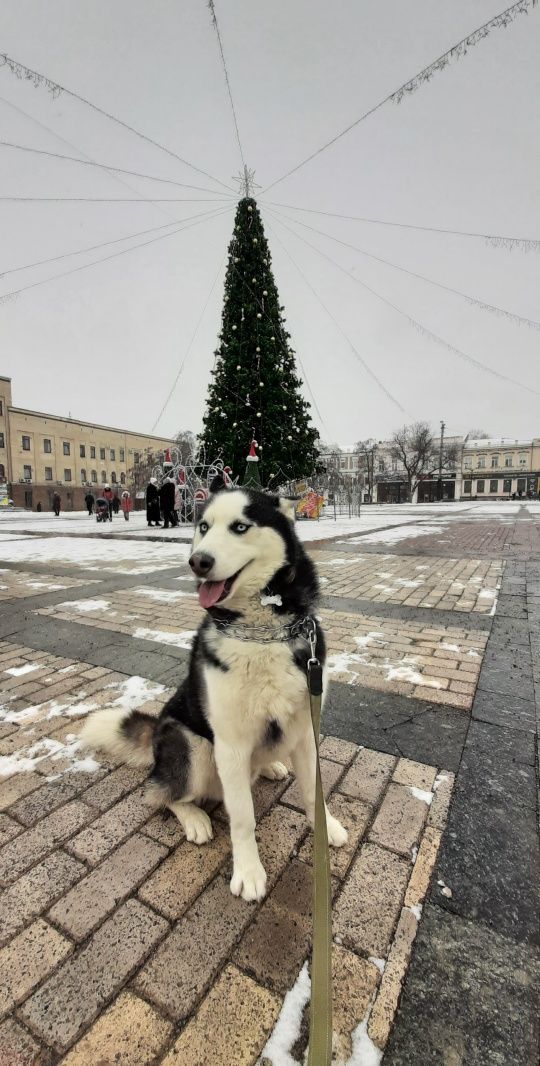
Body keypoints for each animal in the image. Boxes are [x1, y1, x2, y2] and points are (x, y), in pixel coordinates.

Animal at [82, 486, 349, 899]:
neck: (260, 632)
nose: (198, 562)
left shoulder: (306, 731)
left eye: (240, 527)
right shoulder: (231, 744)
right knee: (159, 793)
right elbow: (242, 818)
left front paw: (326, 827)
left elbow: (312, 792)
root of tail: (156, 734)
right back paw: (193, 817)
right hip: (194, 747)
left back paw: (269, 765)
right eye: (204, 527)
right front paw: (249, 872)